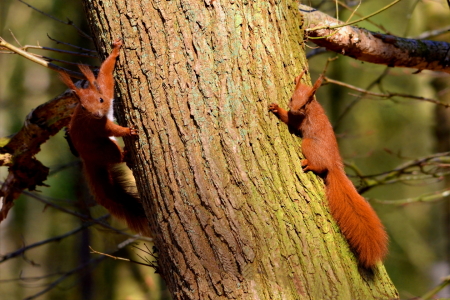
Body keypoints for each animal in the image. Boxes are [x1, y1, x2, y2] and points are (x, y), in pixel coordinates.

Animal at [58, 39, 151, 237]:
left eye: (100, 99)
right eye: (83, 107)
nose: (97, 114)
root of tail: (88, 160)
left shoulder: (106, 88)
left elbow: (105, 73)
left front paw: (115, 50)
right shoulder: (97, 126)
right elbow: (111, 129)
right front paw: (128, 131)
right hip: (104, 148)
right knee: (115, 156)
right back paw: (125, 155)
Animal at [268, 71, 388, 270]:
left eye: (304, 104)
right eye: (292, 98)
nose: (294, 109)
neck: (312, 108)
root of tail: (334, 165)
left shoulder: (298, 120)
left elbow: (289, 120)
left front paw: (277, 109)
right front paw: (296, 79)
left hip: (308, 144)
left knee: (319, 166)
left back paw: (308, 164)